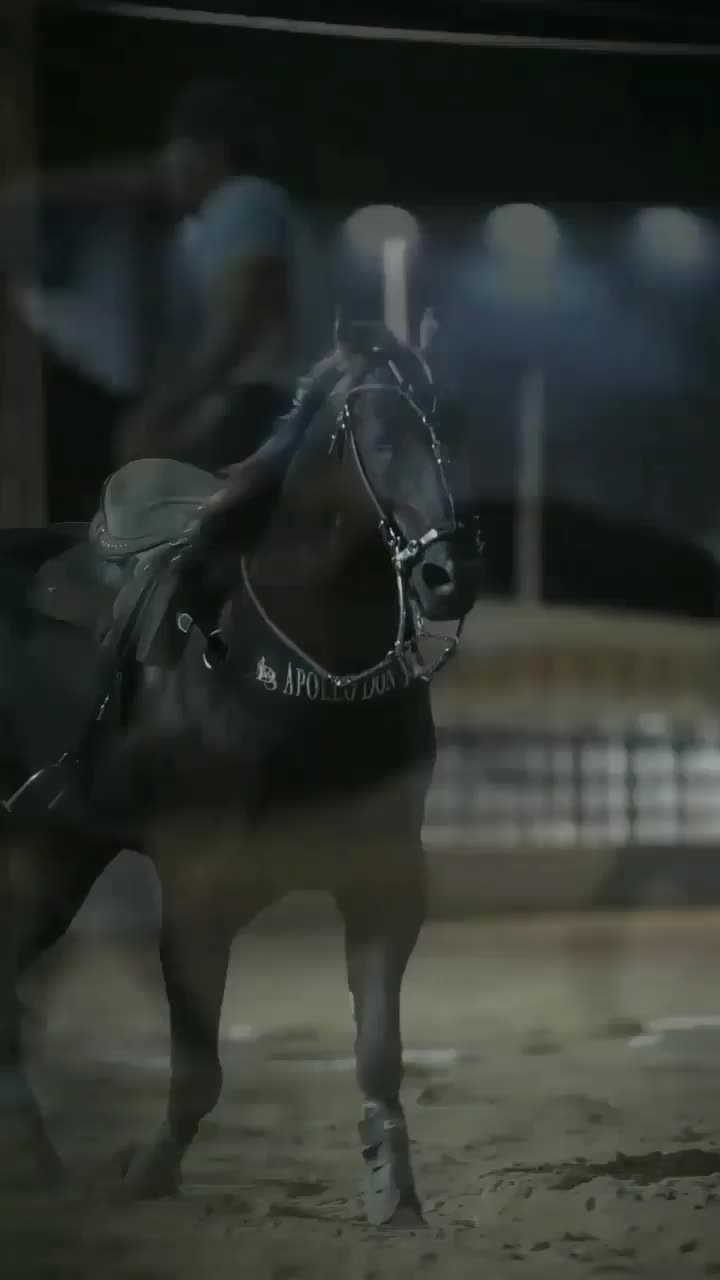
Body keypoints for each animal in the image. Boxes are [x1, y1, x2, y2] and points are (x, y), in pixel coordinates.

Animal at [0, 326, 483, 1228]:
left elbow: (379, 1053)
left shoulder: (385, 879)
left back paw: (39, 1166)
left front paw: (393, 1191)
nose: (449, 575)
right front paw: (145, 1173)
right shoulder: (198, 893)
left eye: (445, 423)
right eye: (375, 433)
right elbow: (198, 1072)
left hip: (52, 856)